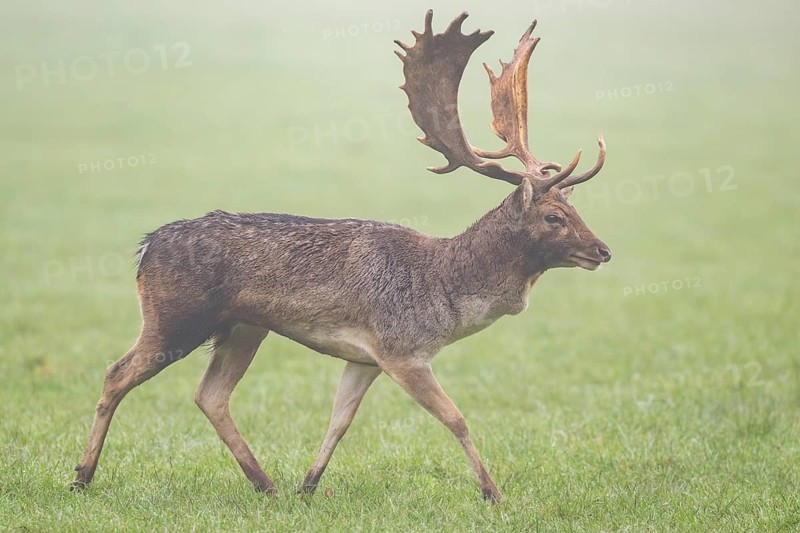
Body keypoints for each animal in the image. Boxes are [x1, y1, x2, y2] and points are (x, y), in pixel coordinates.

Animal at [71, 10, 610, 503]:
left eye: (575, 208)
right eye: (554, 217)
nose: (603, 251)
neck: (446, 292)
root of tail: (145, 247)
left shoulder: (365, 357)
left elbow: (340, 418)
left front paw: (309, 484)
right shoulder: (402, 348)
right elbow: (456, 418)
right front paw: (493, 493)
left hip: (245, 326)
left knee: (210, 395)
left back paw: (267, 484)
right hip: (175, 316)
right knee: (117, 373)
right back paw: (82, 476)